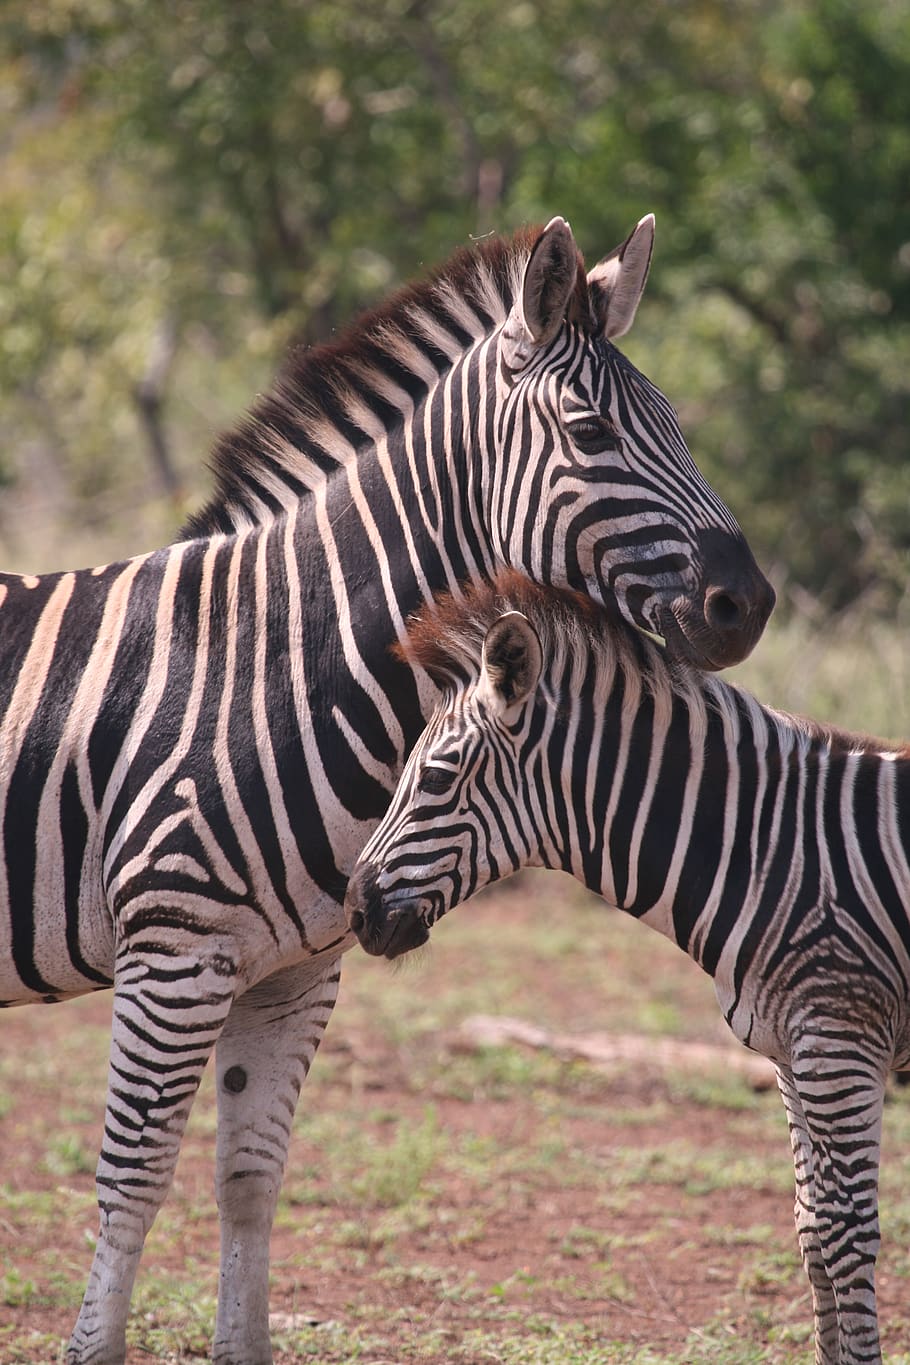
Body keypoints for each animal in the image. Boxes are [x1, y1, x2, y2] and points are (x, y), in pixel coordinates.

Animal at [0, 216, 774, 1365]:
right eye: (591, 434)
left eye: (677, 425)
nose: (749, 604)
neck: (276, 665)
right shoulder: (174, 953)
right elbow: (131, 1185)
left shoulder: (293, 972)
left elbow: (250, 1179)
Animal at [346, 572, 910, 1365]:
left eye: (435, 776)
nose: (356, 909)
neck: (774, 851)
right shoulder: (792, 1051)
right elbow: (810, 1226)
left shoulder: (841, 1038)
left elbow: (846, 1233)